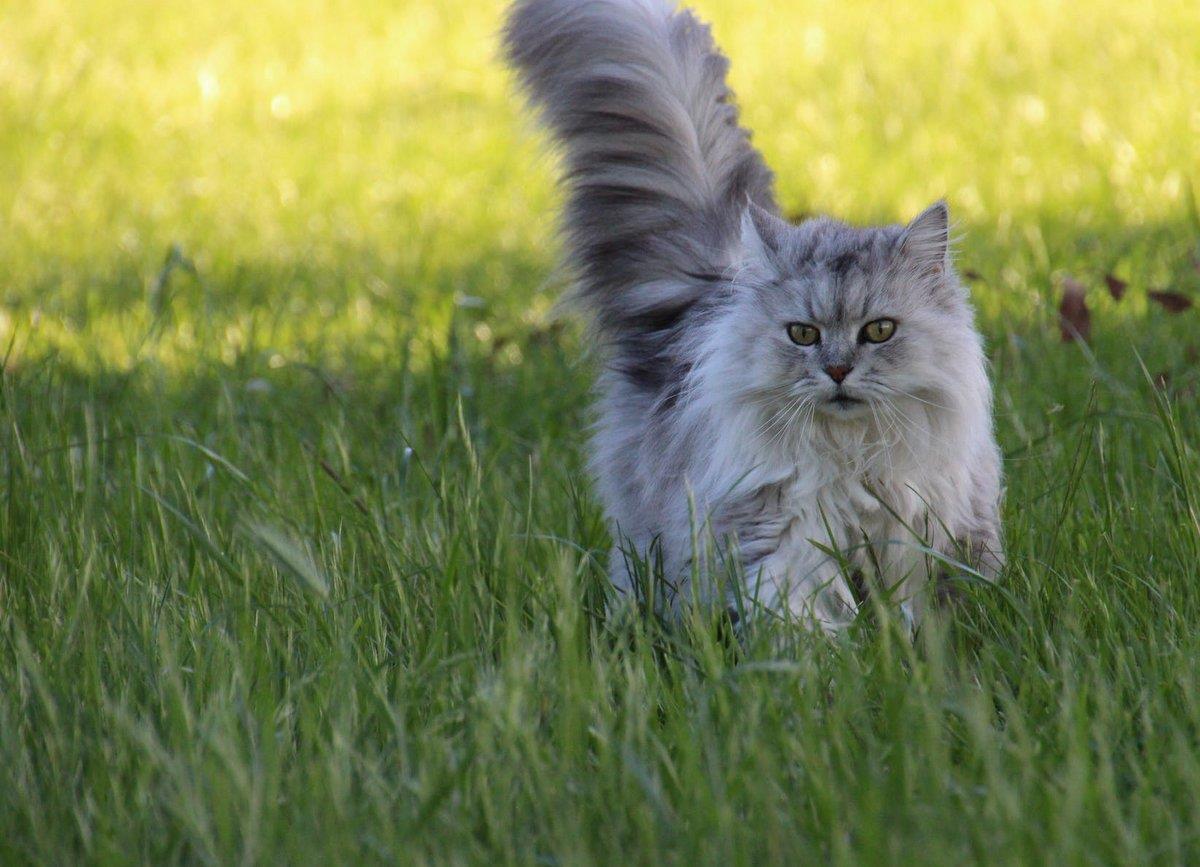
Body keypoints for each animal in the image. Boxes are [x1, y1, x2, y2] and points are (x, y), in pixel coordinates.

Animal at [504, 0, 1003, 629]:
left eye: (879, 330)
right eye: (803, 334)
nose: (837, 371)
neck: (851, 456)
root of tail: (713, 287)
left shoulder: (923, 529)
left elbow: (920, 614)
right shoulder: (781, 530)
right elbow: (800, 614)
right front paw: (822, 655)